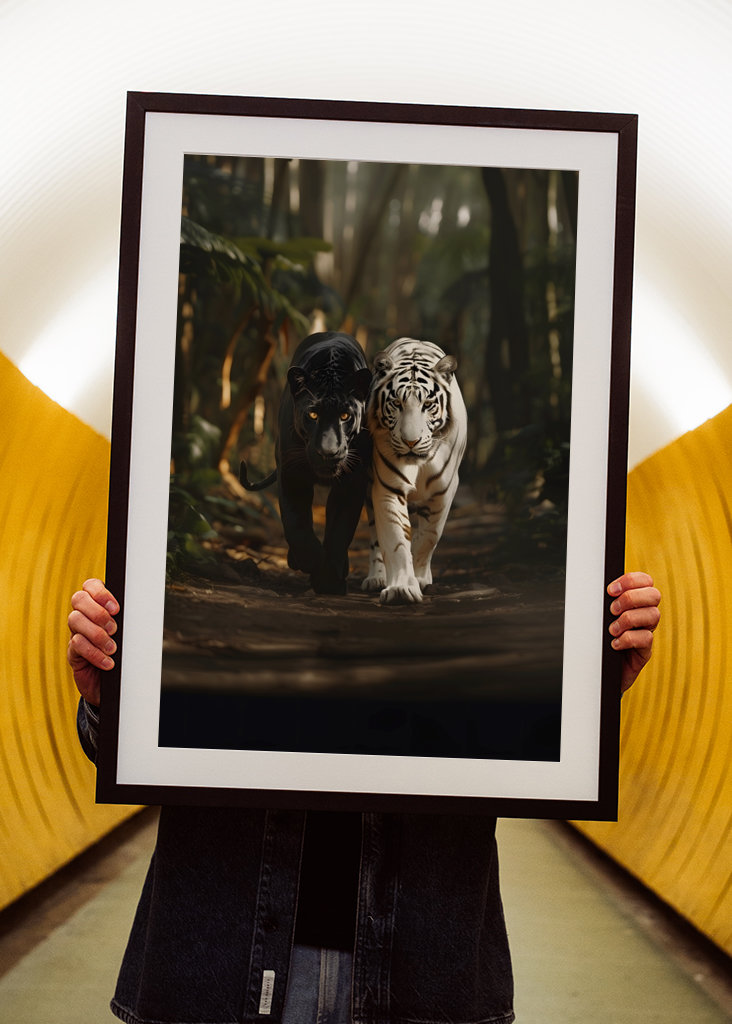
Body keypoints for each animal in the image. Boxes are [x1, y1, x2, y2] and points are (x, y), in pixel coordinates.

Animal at [363, 337, 467, 604]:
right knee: (375, 538)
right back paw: (377, 578)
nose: (411, 441)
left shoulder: (444, 491)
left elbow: (429, 537)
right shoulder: (387, 487)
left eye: (428, 404)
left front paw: (419, 579)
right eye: (396, 403)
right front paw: (401, 588)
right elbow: (396, 540)